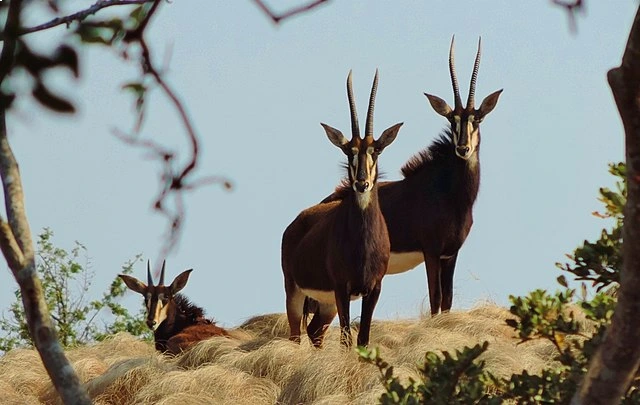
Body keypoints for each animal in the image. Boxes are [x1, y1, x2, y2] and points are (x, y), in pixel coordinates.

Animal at [281, 70, 403, 348]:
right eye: (349, 152)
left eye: (376, 150)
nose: (361, 183)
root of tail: (294, 224)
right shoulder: (341, 288)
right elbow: (347, 339)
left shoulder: (373, 289)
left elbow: (362, 339)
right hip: (295, 291)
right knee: (295, 335)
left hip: (326, 305)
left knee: (315, 331)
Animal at [322, 37, 502, 315]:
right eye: (452, 121)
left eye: (478, 119)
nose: (463, 148)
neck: (451, 194)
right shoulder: (431, 251)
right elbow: (436, 298)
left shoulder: (451, 254)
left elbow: (447, 300)